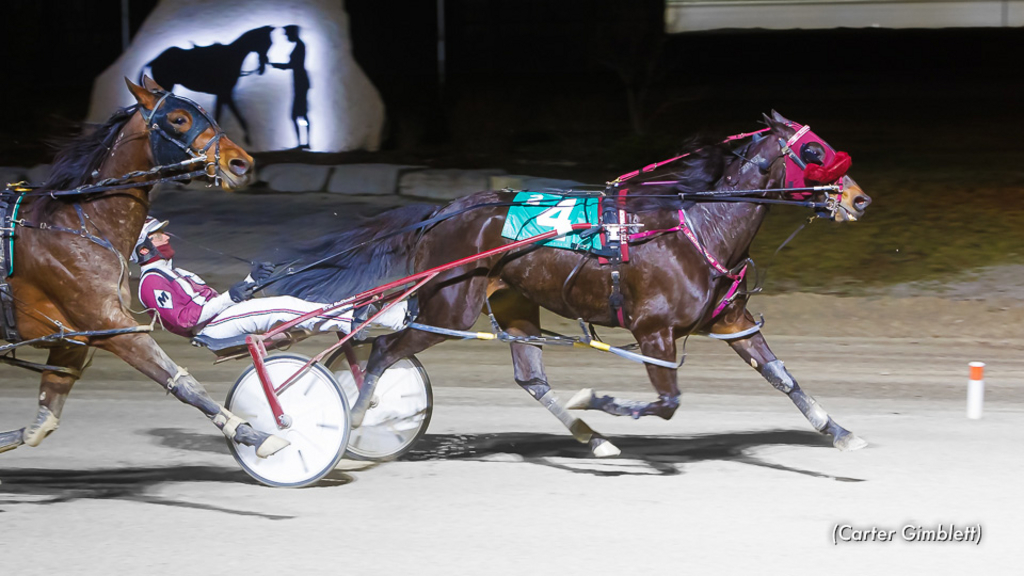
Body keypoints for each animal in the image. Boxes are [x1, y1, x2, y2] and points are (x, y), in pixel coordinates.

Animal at [0, 77, 288, 457]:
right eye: (179, 119)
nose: (241, 162)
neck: (77, 224)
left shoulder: (73, 335)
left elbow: (41, 422)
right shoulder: (112, 325)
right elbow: (183, 382)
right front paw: (256, 435)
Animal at [144, 26, 274, 143]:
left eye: (270, 43)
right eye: (265, 42)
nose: (263, 66)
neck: (232, 57)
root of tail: (154, 61)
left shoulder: (222, 95)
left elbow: (220, 115)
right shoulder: (225, 94)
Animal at [270, 111, 872, 453]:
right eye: (814, 151)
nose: (860, 199)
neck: (701, 225)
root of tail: (444, 210)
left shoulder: (731, 319)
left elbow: (782, 377)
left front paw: (840, 431)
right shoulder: (654, 332)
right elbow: (667, 401)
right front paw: (598, 398)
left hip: (511, 302)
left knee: (529, 377)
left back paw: (591, 439)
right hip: (448, 309)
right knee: (380, 351)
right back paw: (351, 423)